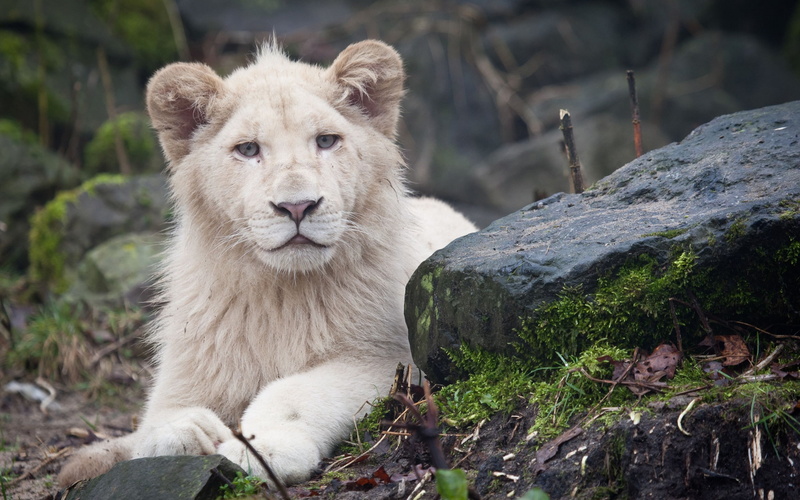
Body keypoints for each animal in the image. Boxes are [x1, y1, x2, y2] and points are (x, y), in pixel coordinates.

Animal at [58, 40, 476, 487]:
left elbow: (296, 391)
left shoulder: (389, 358)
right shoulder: (189, 364)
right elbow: (157, 420)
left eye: (326, 140)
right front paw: (185, 430)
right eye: (248, 149)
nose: (297, 206)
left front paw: (263, 446)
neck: (280, 293)